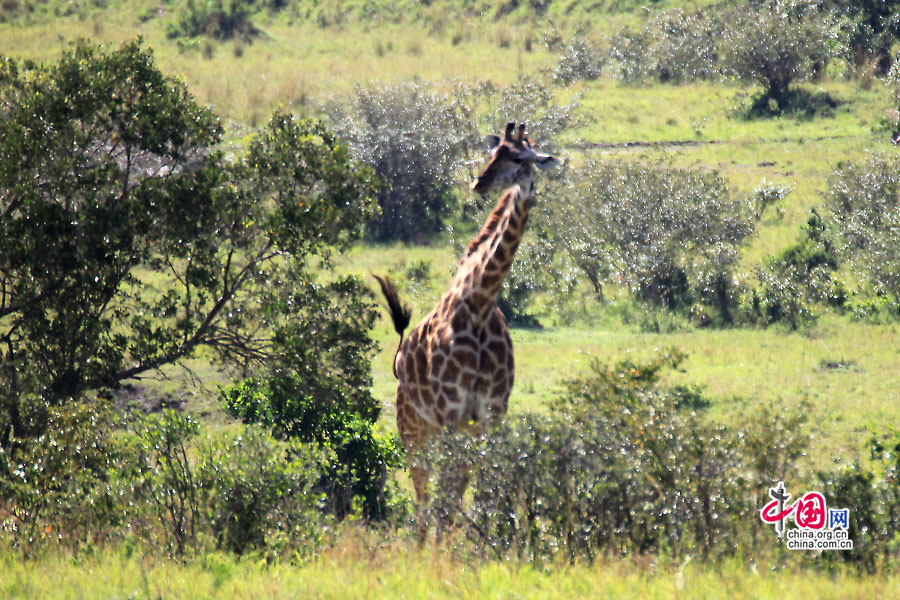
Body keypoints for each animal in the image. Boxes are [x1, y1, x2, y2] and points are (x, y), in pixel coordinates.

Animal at [374, 122, 560, 506]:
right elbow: (448, 494)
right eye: (493, 154)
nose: (479, 183)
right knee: (424, 494)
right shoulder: (451, 411)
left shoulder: (492, 412)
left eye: (518, 158)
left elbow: (487, 487)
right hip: (412, 424)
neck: (480, 303)